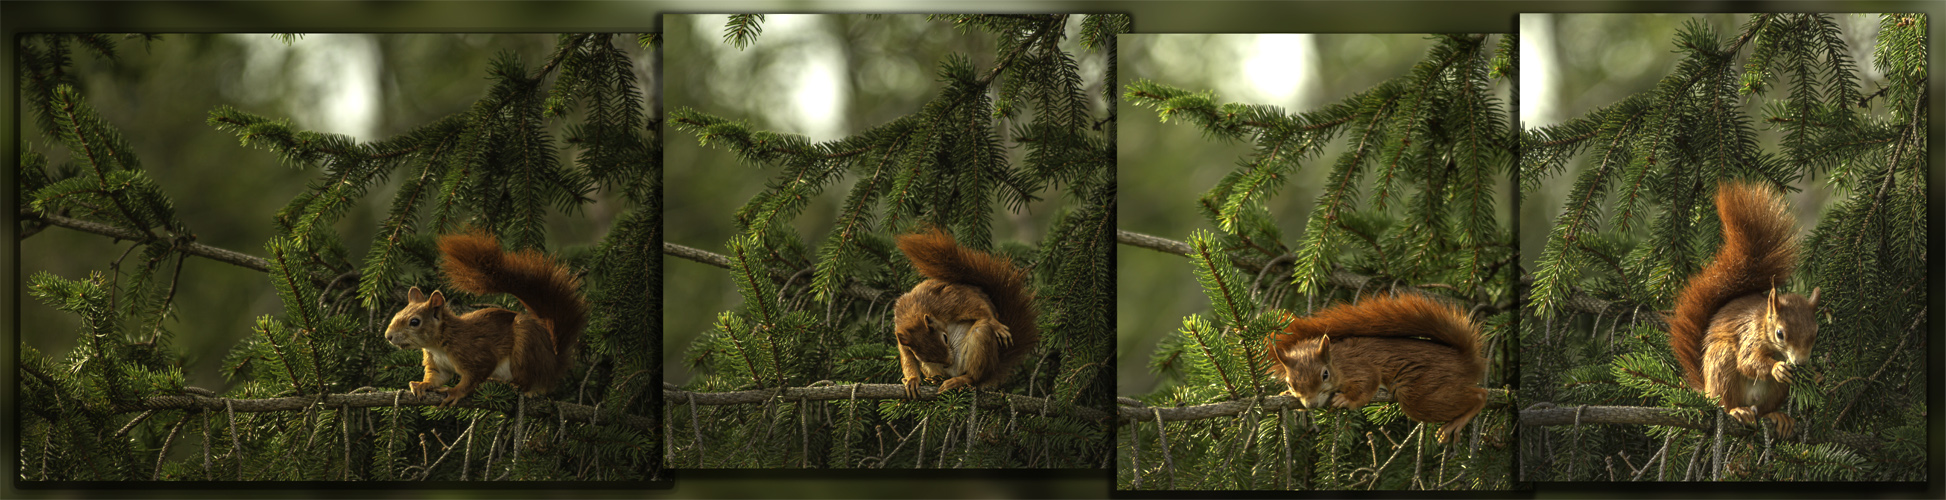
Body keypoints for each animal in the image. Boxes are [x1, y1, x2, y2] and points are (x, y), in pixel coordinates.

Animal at [381, 230, 583, 404]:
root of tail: (554, 363)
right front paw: (422, 385)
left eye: (414, 322)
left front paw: (454, 392)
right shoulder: (438, 365)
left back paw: (506, 384)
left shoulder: (475, 354)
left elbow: (475, 375)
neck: (438, 344)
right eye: (397, 314)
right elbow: (436, 377)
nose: (388, 336)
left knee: (526, 381)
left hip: (525, 345)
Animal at [895, 228, 1043, 396]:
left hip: (980, 341)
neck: (913, 313)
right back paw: (936, 380)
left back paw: (959, 381)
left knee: (974, 377)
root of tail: (994, 367)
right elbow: (907, 359)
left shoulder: (948, 302)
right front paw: (912, 380)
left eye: (945, 338)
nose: (949, 362)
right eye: (926, 358)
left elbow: (976, 305)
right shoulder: (903, 337)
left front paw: (996, 324)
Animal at [1261, 293, 1486, 441]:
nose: (1311, 404)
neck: (1337, 362)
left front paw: (1346, 399)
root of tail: (1466, 360)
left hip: (1424, 391)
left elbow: (1368, 383)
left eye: (1325, 375)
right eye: (1290, 384)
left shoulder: (1360, 367)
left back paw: (1458, 421)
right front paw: (1283, 395)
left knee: (1479, 395)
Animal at [1665, 180, 1813, 433]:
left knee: (1763, 411)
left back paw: (1777, 417)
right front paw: (1776, 368)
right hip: (1722, 365)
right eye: (1780, 334)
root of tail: (1706, 389)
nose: (1800, 363)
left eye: (1815, 334)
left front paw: (1817, 375)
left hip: (1776, 391)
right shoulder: (1748, 336)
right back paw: (1738, 411)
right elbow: (1747, 362)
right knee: (1725, 404)